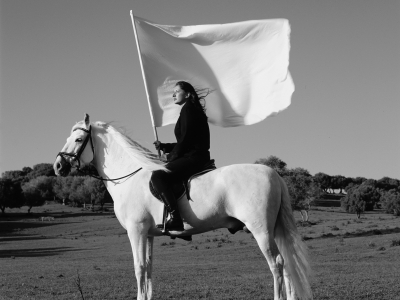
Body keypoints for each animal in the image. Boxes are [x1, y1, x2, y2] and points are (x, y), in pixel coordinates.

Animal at [54, 113, 312, 298]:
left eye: (78, 140)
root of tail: (274, 173)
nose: (57, 166)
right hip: (273, 230)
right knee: (286, 264)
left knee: (277, 264)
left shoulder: (136, 232)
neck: (130, 176)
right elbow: (148, 269)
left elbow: (139, 268)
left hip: (261, 230)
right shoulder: (149, 234)